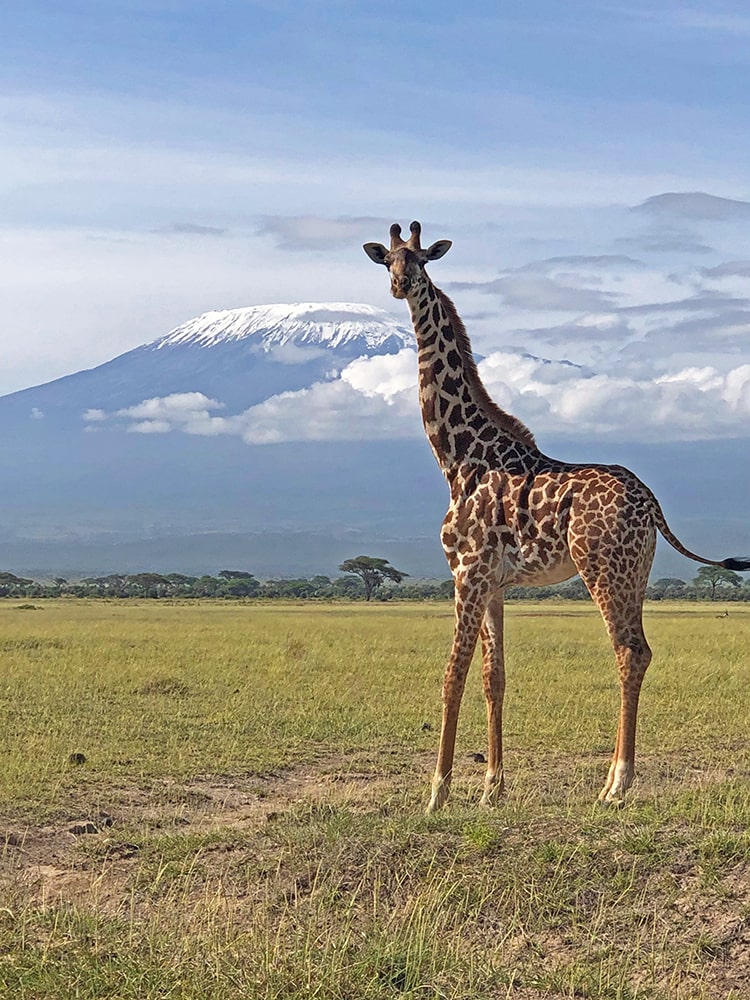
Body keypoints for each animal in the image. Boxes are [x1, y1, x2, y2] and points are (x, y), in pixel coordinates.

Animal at [363, 220, 750, 812]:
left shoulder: (467, 574)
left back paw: (616, 784)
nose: (400, 285)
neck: (458, 458)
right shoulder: (494, 583)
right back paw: (613, 779)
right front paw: (492, 788)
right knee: (638, 651)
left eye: (422, 260)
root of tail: (652, 504)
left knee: (631, 652)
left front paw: (436, 793)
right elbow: (493, 678)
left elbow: (452, 675)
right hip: (635, 573)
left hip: (603, 569)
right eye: (388, 260)